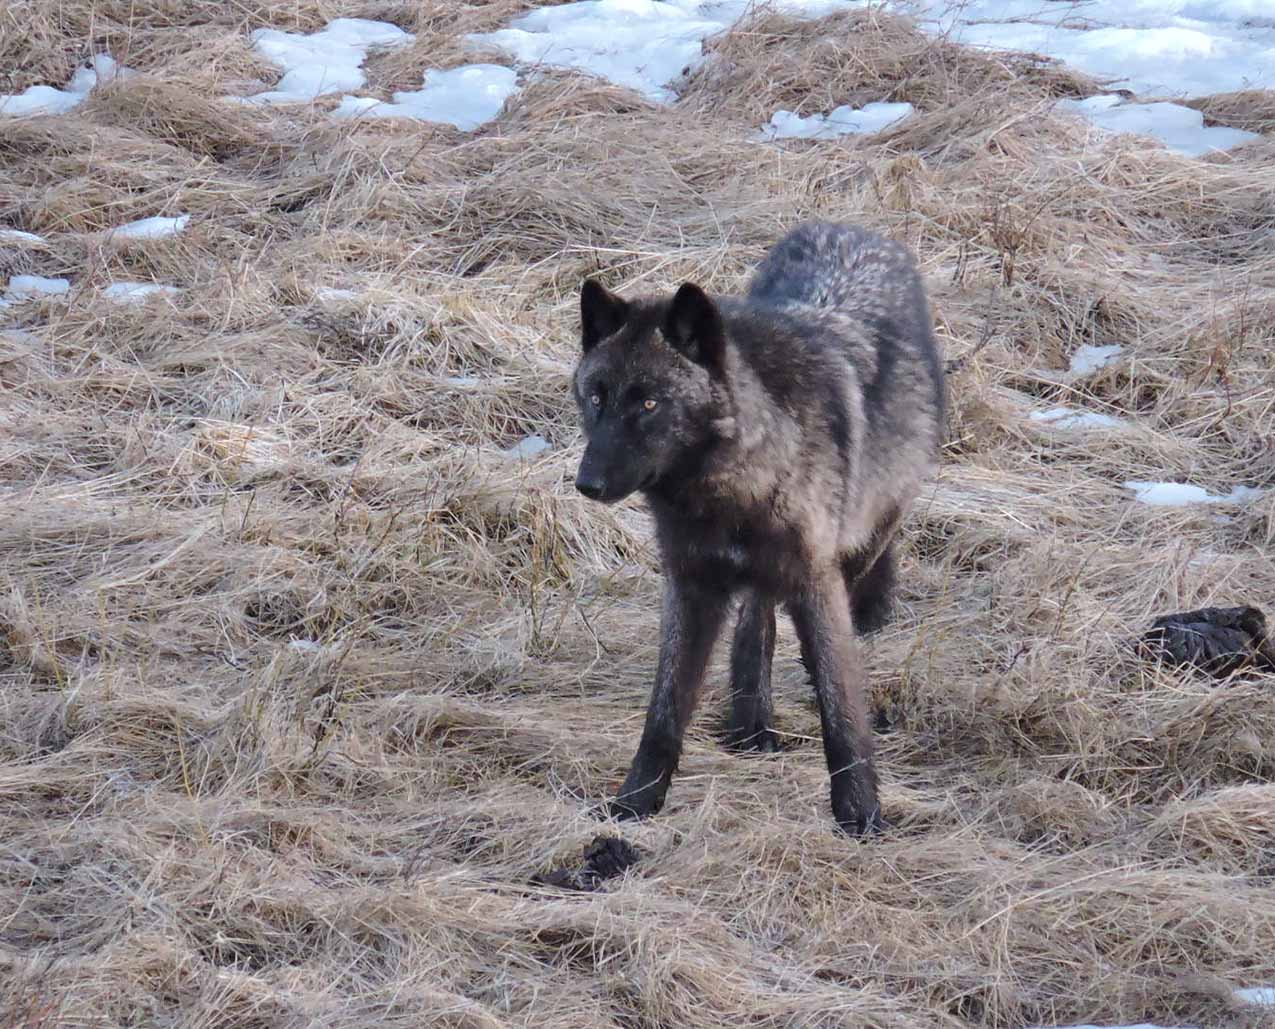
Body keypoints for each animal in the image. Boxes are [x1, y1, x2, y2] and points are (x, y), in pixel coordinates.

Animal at [571, 222, 945, 835]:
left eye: (648, 403)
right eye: (596, 397)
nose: (588, 483)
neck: (727, 489)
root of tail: (850, 228)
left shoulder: (817, 580)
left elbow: (841, 710)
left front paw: (861, 816)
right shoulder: (690, 586)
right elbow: (663, 715)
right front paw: (634, 805)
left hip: (861, 541)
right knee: (756, 622)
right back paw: (751, 724)